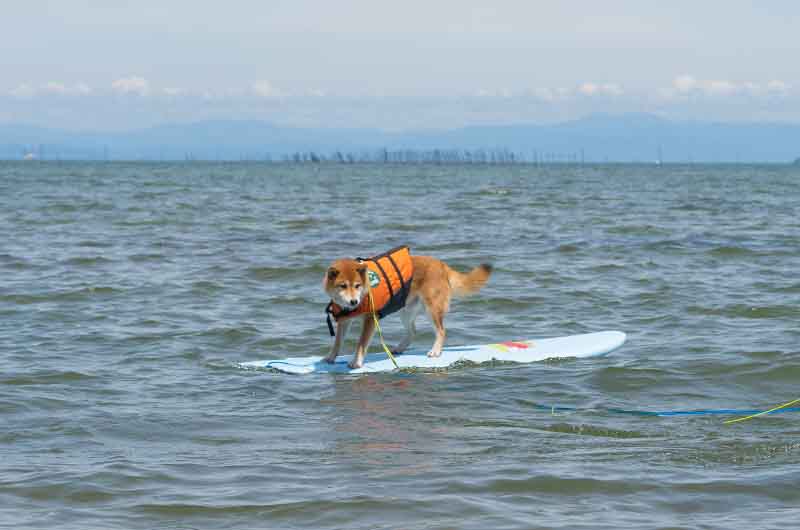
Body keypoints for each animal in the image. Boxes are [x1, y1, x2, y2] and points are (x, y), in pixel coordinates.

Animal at [322, 246, 490, 368]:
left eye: (357, 286)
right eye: (343, 286)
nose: (353, 302)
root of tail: (441, 265)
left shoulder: (370, 318)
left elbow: (361, 343)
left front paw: (356, 362)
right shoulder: (344, 320)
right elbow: (338, 342)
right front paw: (330, 357)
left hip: (431, 308)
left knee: (441, 331)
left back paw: (435, 351)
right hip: (405, 310)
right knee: (412, 331)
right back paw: (399, 348)